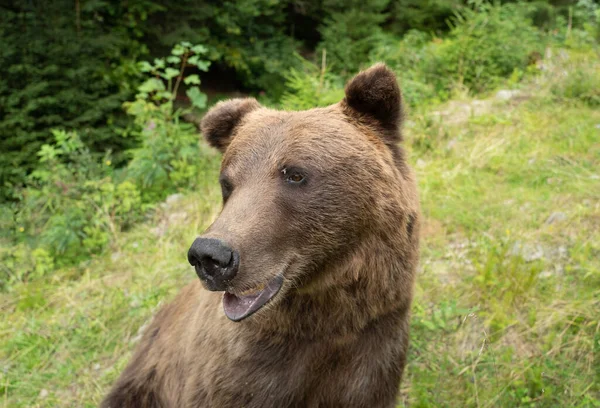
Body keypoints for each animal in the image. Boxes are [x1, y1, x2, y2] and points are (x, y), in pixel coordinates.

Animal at [101, 63, 420, 408]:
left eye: (295, 174)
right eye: (227, 183)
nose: (211, 256)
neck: (326, 314)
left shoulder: (372, 345)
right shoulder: (243, 371)